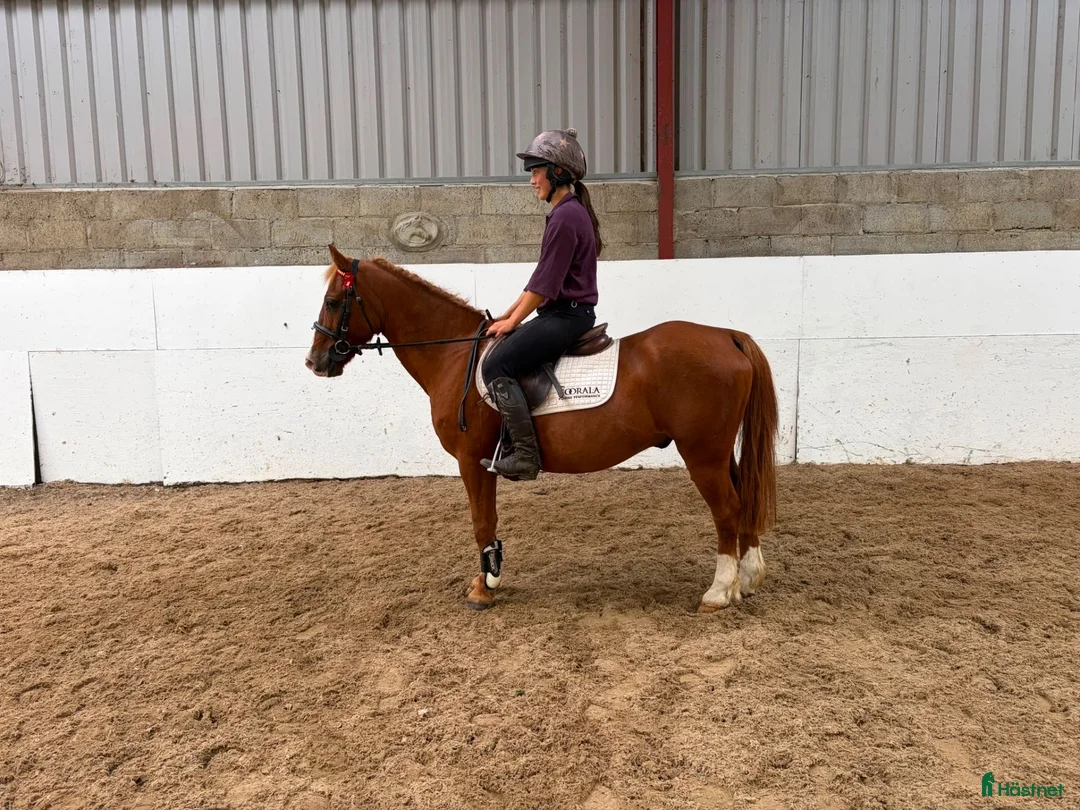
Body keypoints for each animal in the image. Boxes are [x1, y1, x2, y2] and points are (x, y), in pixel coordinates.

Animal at [306, 244, 779, 612]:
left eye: (332, 301)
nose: (315, 362)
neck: (454, 355)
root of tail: (726, 335)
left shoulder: (472, 460)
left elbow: (482, 521)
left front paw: (486, 586)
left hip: (702, 454)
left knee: (728, 509)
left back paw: (719, 591)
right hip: (718, 452)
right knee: (744, 499)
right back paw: (749, 578)